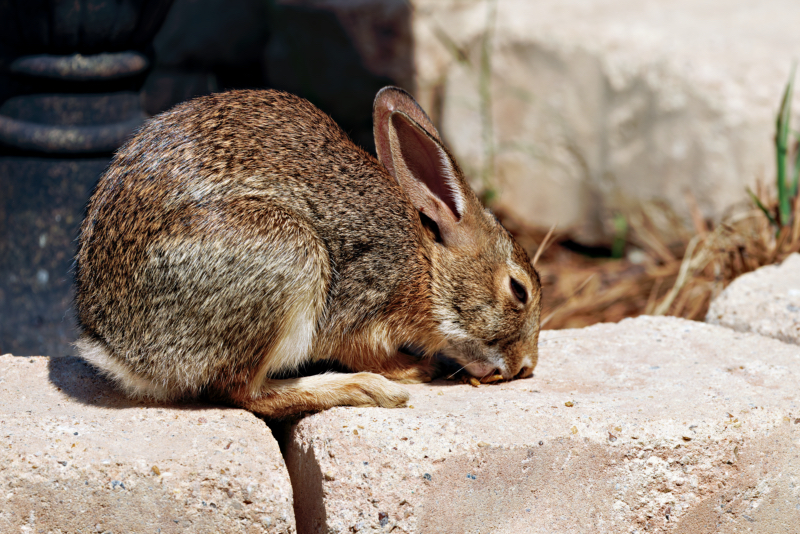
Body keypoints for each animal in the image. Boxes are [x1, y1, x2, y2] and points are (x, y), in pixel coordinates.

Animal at [73, 87, 544, 418]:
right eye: (518, 290)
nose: (525, 366)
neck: (429, 267)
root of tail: (121, 351)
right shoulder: (365, 305)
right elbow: (363, 349)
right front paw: (414, 370)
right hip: (289, 260)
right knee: (243, 391)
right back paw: (363, 389)